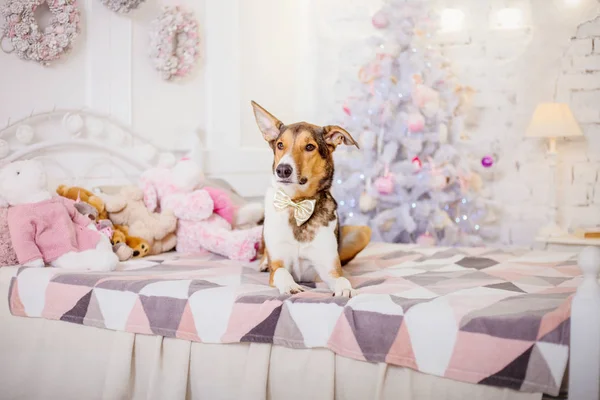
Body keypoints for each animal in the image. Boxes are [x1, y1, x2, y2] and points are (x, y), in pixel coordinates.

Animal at [250, 101, 370, 298]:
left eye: (309, 147)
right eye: (280, 145)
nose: (282, 170)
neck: (298, 203)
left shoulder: (328, 269)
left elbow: (341, 279)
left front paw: (345, 289)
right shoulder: (278, 264)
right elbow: (281, 272)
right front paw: (290, 285)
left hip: (363, 232)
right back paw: (263, 263)